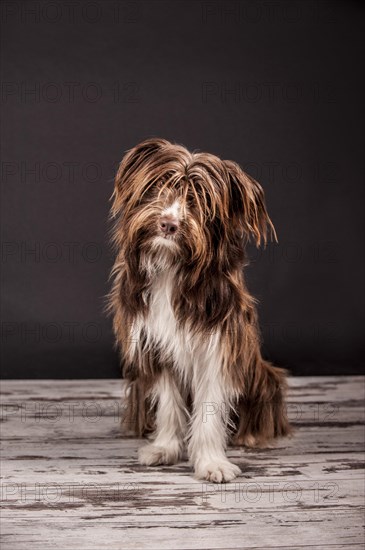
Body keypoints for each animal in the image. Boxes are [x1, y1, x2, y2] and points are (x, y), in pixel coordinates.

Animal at [108, 138, 290, 484]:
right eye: (158, 186)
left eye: (200, 199)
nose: (168, 224)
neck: (172, 268)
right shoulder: (155, 343)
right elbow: (169, 401)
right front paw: (165, 448)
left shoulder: (218, 348)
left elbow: (210, 407)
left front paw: (211, 462)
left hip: (260, 373)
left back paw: (250, 436)